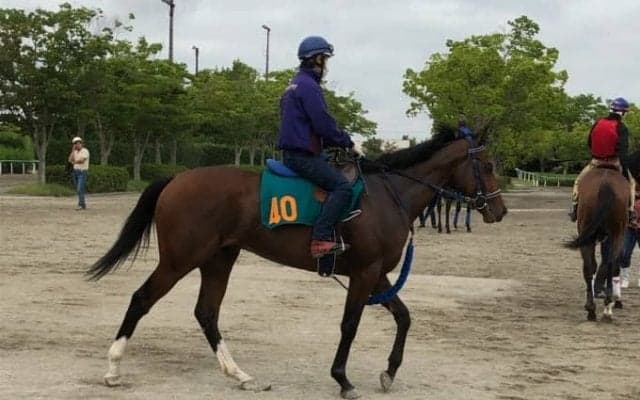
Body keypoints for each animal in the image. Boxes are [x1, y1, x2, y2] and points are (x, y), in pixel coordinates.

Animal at [87, 124, 507, 399]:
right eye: (487, 166)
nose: (499, 210)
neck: (388, 196)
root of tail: (177, 179)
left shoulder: (377, 274)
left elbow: (403, 317)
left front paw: (388, 372)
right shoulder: (365, 273)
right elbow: (350, 324)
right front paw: (342, 379)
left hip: (218, 259)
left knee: (206, 312)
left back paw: (239, 375)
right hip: (180, 260)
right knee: (142, 299)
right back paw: (112, 368)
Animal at [566, 165, 629, 321]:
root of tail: (605, 184)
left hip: (589, 235)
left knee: (591, 266)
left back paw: (593, 308)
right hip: (616, 235)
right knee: (610, 264)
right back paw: (605, 304)